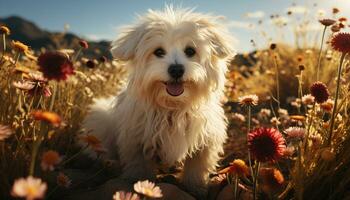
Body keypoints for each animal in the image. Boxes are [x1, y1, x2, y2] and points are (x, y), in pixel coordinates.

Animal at [83, 5, 234, 197]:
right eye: (159, 52)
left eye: (190, 51)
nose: (176, 69)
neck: (173, 107)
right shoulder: (136, 142)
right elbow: (139, 169)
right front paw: (139, 185)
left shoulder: (205, 141)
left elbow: (197, 168)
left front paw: (196, 188)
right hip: (101, 120)